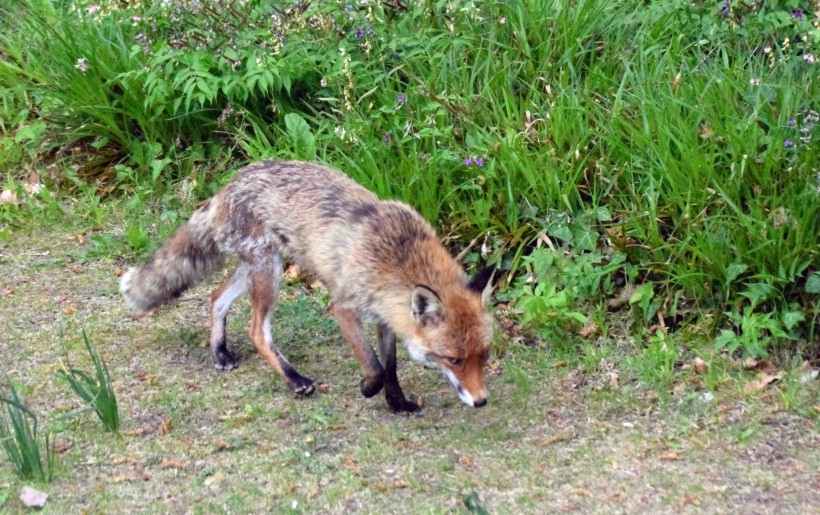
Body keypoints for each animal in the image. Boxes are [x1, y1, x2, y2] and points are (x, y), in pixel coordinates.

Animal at [120, 160, 494, 412]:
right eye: (454, 359)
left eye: (484, 355)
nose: (481, 401)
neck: (396, 256)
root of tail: (227, 186)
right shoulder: (343, 307)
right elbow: (374, 365)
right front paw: (368, 388)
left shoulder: (386, 316)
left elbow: (391, 367)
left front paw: (397, 403)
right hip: (269, 273)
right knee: (257, 331)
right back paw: (295, 380)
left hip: (256, 269)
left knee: (215, 297)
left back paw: (220, 352)